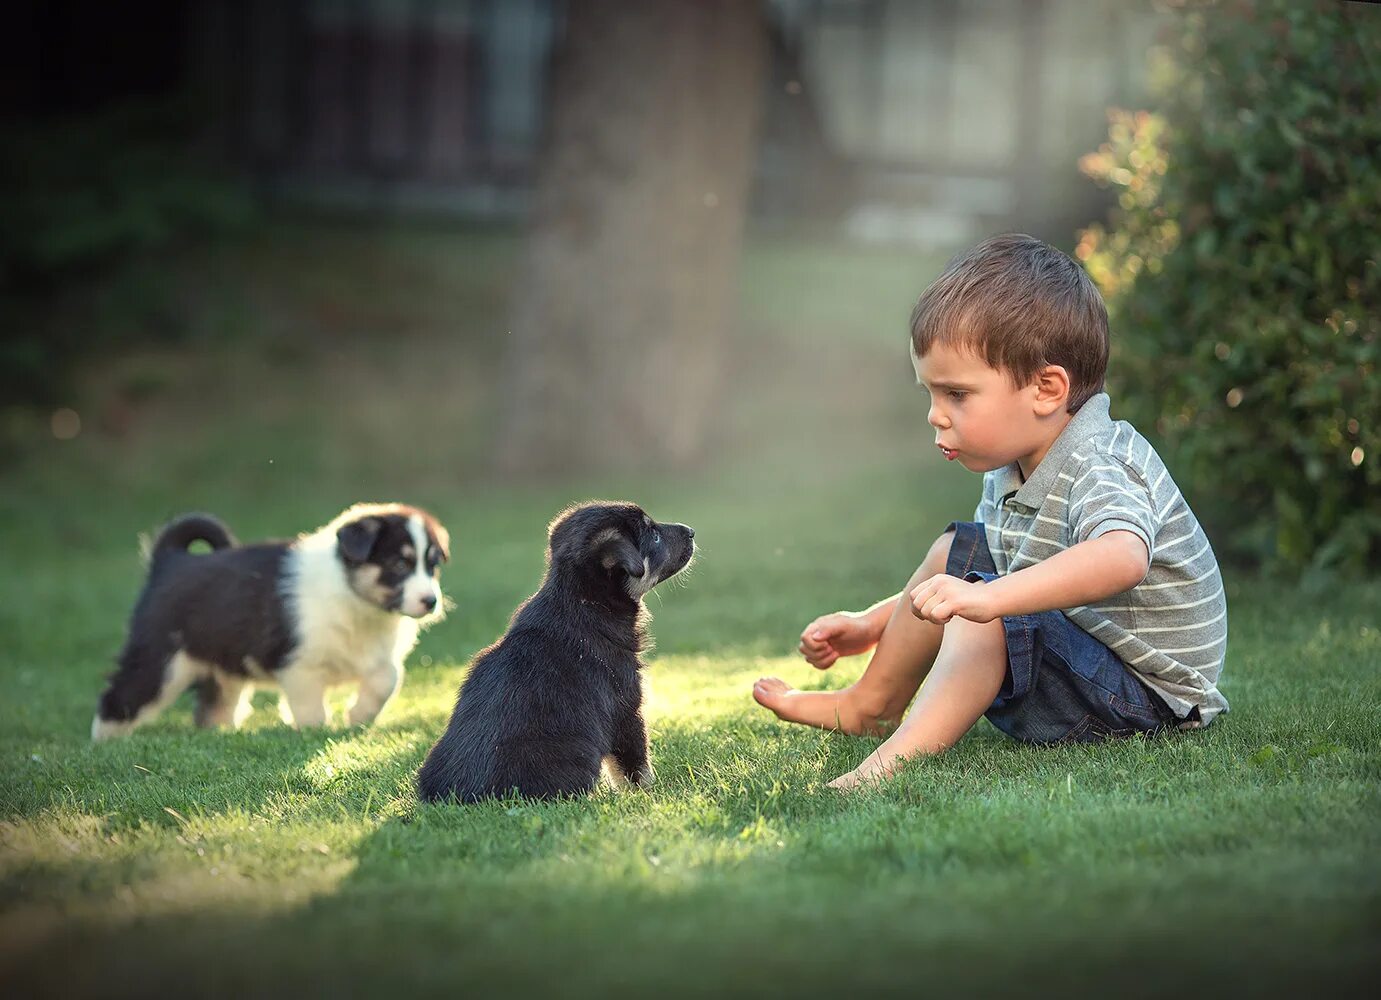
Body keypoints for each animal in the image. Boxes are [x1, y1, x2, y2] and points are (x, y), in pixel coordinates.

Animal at [91, 502, 447, 740]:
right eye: (399, 564)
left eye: (432, 566)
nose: (431, 602)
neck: (356, 601)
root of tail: (169, 561)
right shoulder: (298, 664)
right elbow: (310, 707)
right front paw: (314, 731)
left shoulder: (377, 657)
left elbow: (388, 680)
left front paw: (358, 716)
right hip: (161, 662)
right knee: (120, 696)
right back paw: (106, 744)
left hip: (224, 673)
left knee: (212, 710)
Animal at [408, 500, 690, 806]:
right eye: (654, 536)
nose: (691, 531)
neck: (582, 603)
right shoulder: (626, 707)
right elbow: (636, 766)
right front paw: (649, 794)